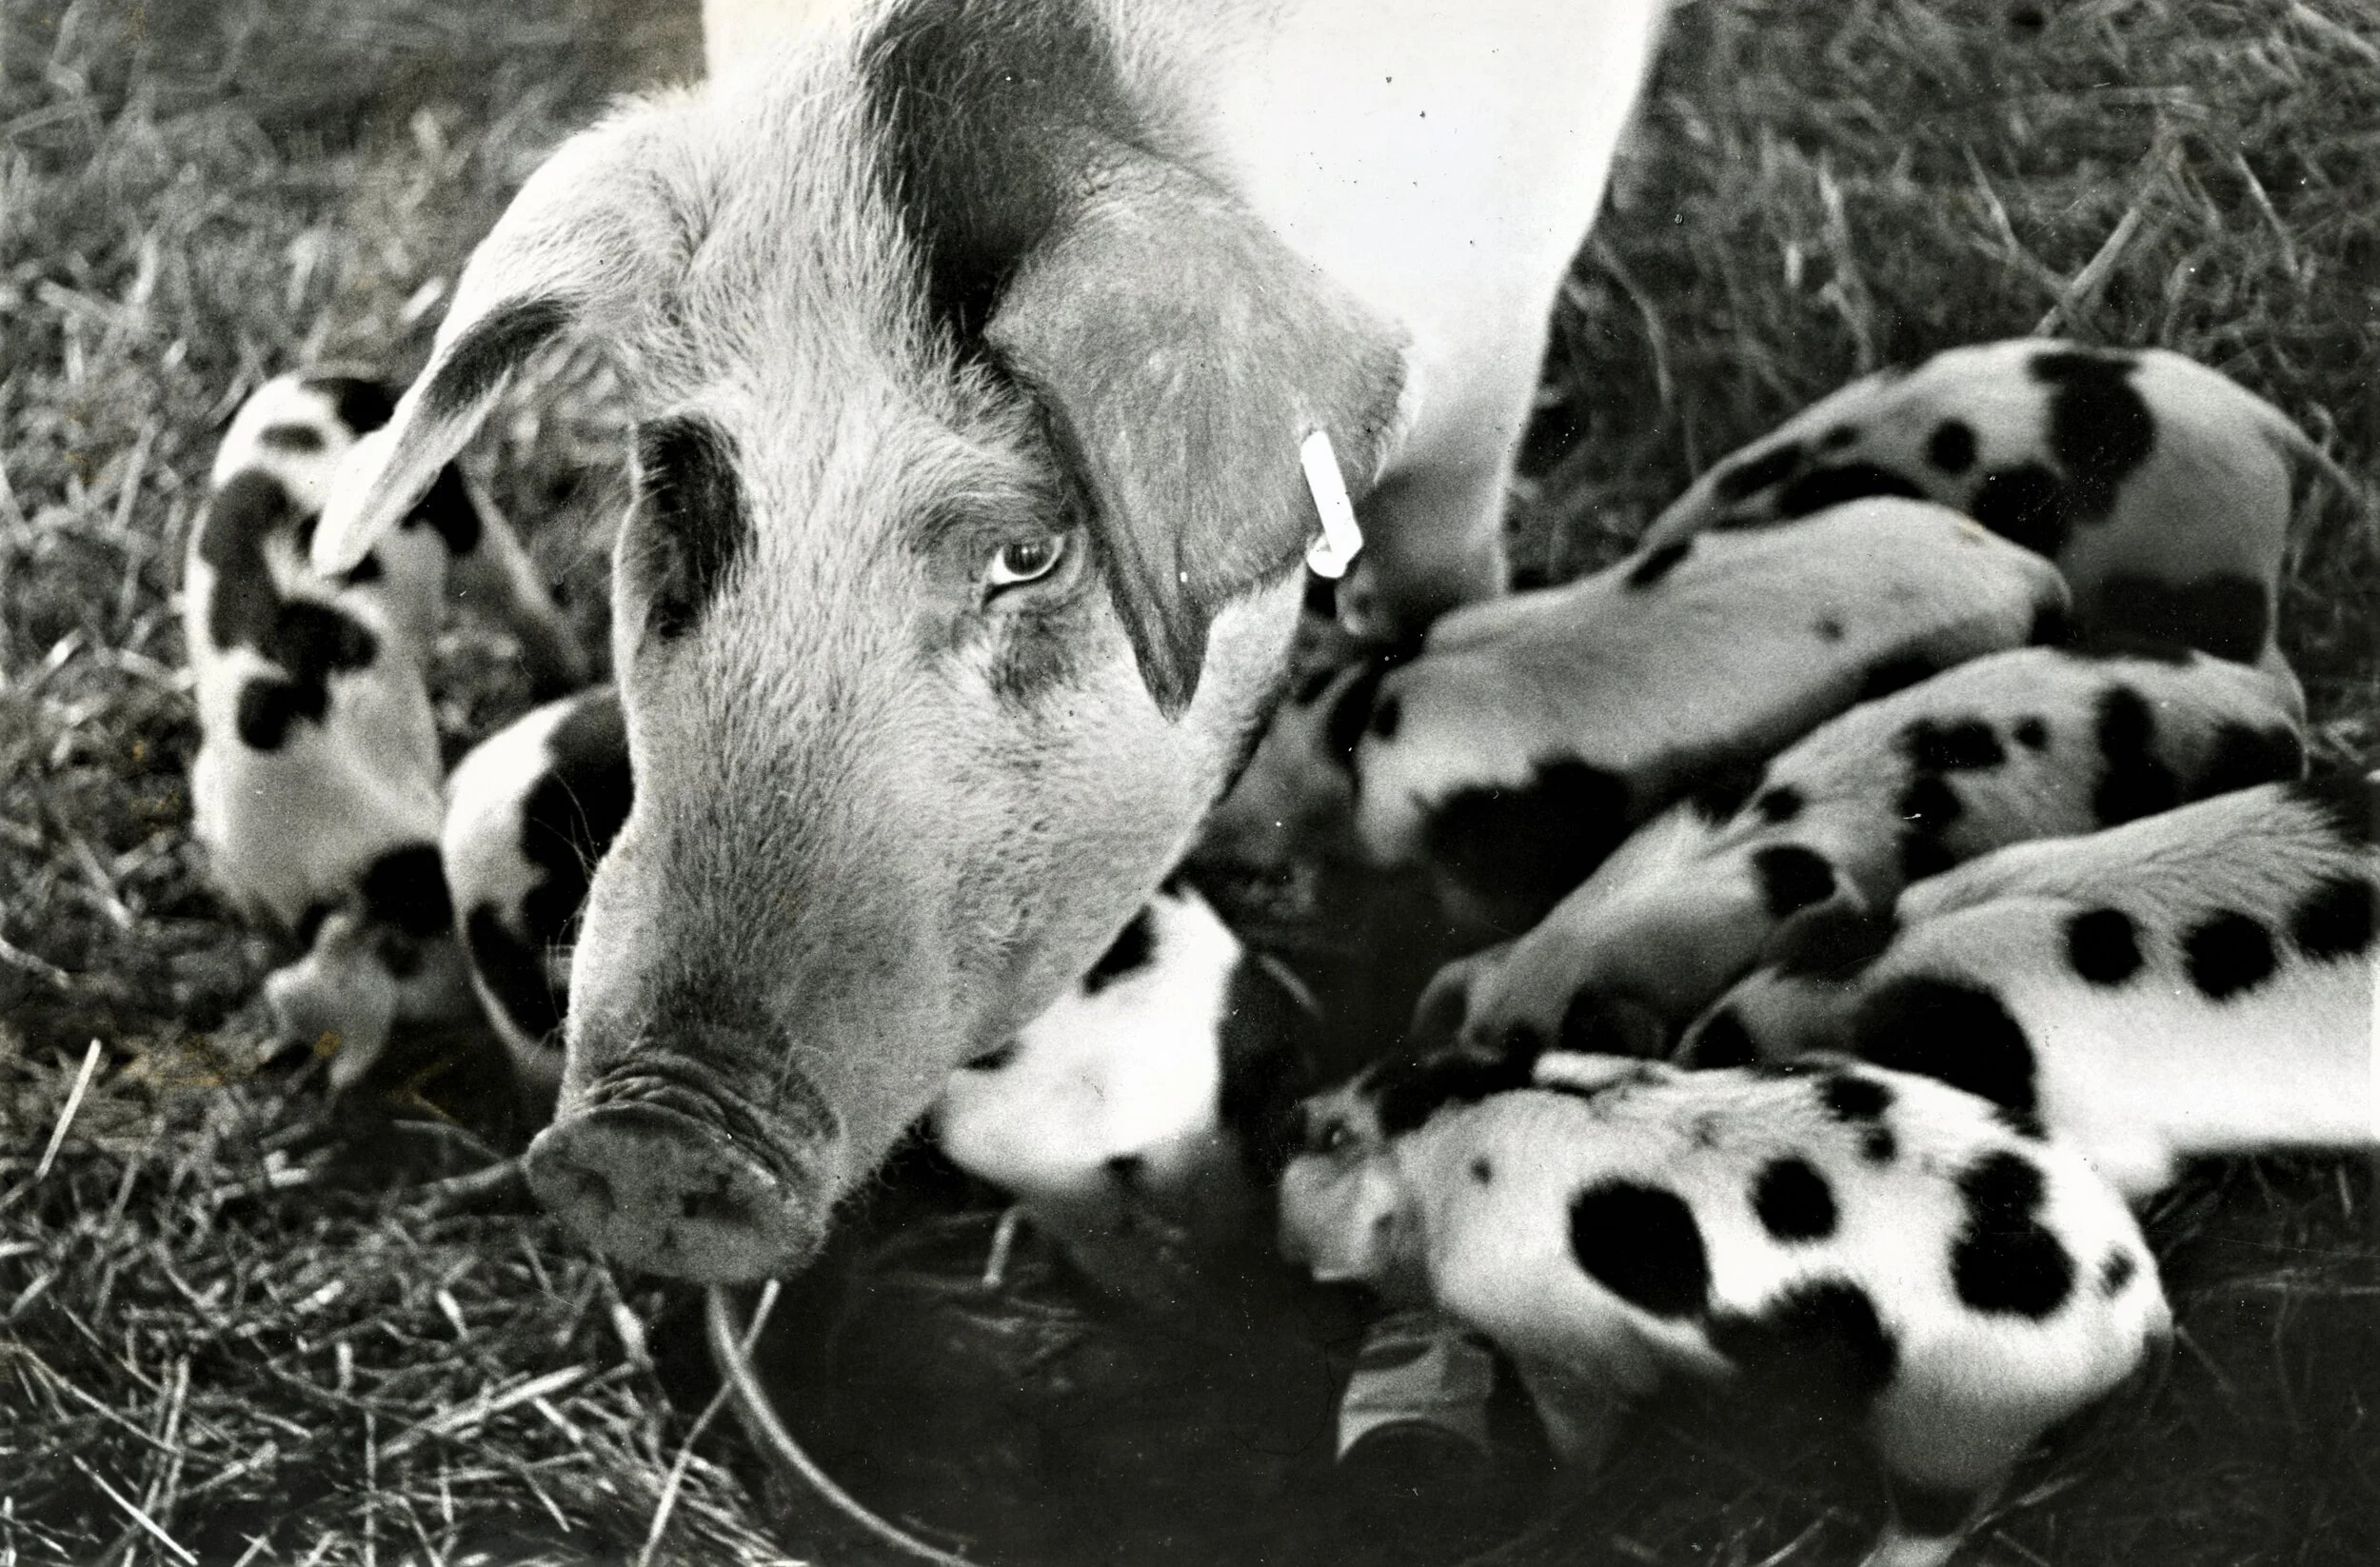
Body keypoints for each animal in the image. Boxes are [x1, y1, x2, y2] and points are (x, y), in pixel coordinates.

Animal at [1279, 1049, 2170, 1567]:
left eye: (1324, 1146)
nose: (1280, 1113)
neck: (1437, 1130)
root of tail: (2139, 1304)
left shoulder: (1553, 1336)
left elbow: (1583, 1419)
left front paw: (1560, 1483)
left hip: (1953, 1421)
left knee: (1937, 1519)